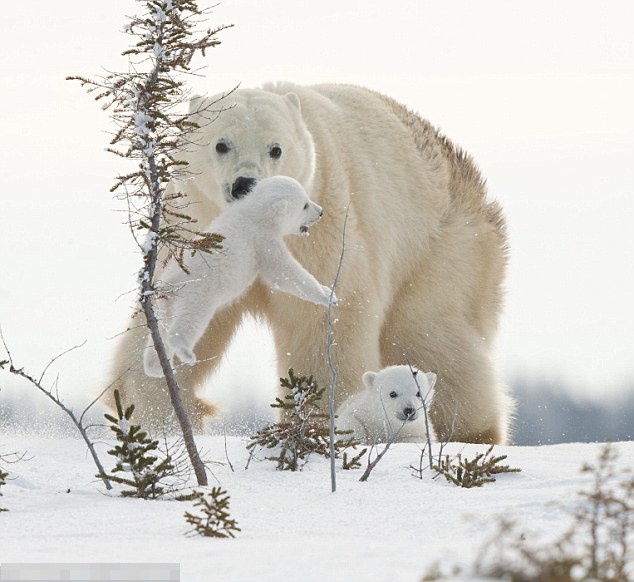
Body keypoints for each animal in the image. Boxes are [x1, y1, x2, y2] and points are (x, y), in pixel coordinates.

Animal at [106, 82, 506, 444]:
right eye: (221, 144)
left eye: (276, 149)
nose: (244, 183)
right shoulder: (194, 232)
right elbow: (185, 311)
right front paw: (158, 409)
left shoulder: (327, 228)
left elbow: (325, 321)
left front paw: (318, 414)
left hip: (440, 248)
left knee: (429, 335)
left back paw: (472, 431)